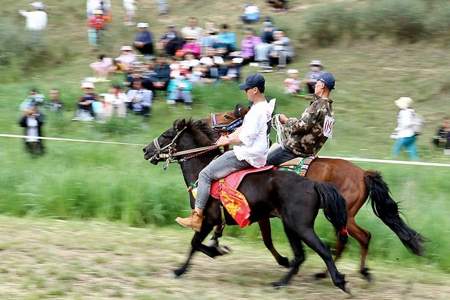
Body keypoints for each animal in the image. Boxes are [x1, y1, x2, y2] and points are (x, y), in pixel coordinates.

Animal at [144, 119, 352, 290]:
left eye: (166, 134)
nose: (146, 150)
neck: (202, 170)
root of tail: (313, 184)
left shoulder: (208, 219)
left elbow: (195, 243)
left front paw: (181, 269)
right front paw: (216, 250)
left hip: (301, 226)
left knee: (323, 250)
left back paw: (339, 281)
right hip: (291, 226)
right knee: (301, 256)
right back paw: (280, 283)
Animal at [207, 106, 426, 282]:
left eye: (227, 115)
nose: (208, 122)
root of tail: (363, 174)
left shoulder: (261, 214)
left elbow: (267, 240)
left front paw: (285, 262)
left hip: (344, 216)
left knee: (360, 237)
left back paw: (345, 272)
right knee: (349, 240)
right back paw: (336, 272)